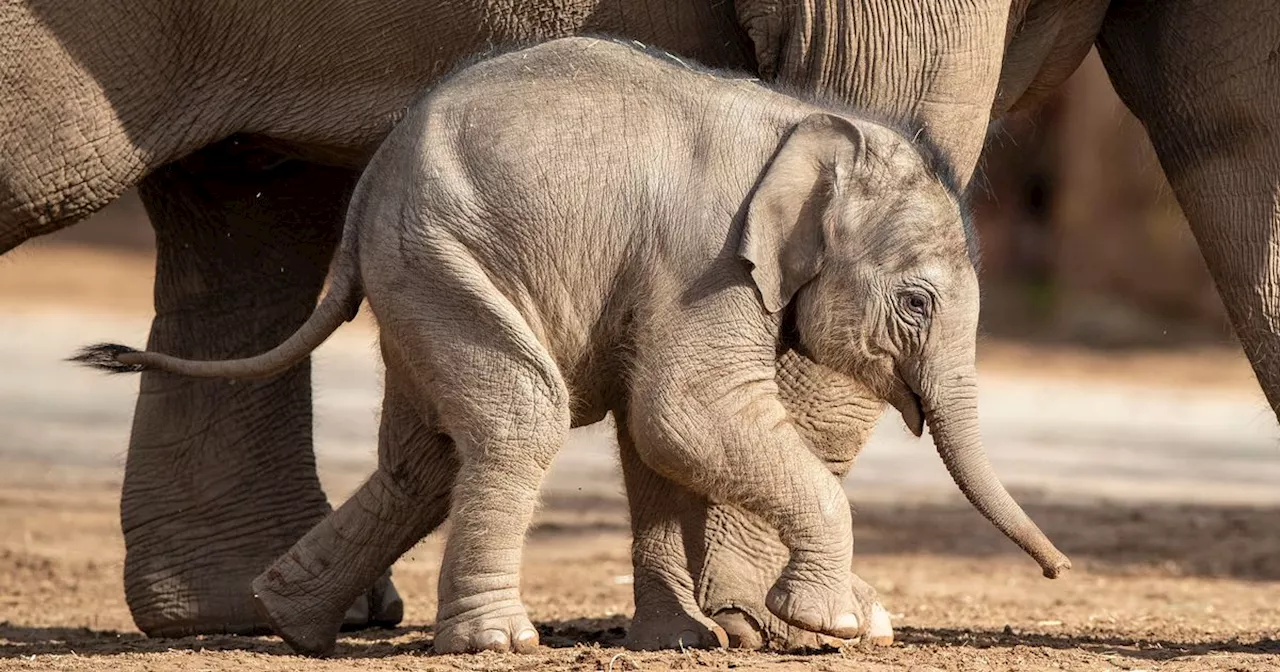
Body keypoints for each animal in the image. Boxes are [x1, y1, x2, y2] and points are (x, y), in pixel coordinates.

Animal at [2, 0, 1280, 647]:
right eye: (915, 303)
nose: (1060, 573)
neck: (805, 138)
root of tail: (374, 203)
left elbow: (656, 436)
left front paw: (702, 636)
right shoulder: (707, 263)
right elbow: (681, 414)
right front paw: (816, 625)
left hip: (433, 271)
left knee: (422, 433)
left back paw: (284, 618)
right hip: (447, 257)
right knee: (510, 420)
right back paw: (488, 643)